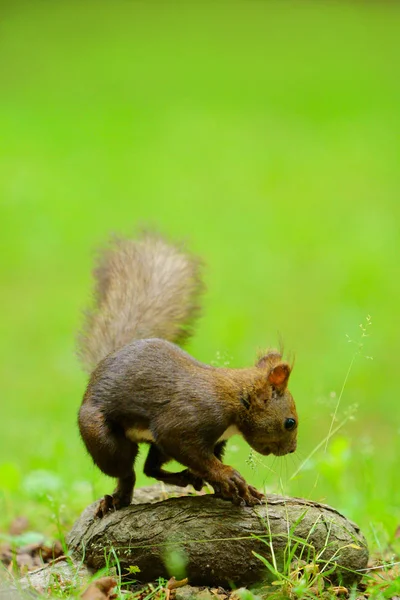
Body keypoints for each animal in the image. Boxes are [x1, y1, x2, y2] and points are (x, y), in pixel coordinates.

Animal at [77, 232, 296, 516]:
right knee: (126, 470)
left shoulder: (217, 441)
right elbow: (192, 451)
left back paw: (184, 478)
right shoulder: (187, 420)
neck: (236, 399)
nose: (292, 449)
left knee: (150, 467)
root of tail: (100, 366)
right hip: (104, 438)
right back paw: (119, 498)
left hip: (154, 447)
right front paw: (228, 476)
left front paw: (233, 488)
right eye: (290, 422)